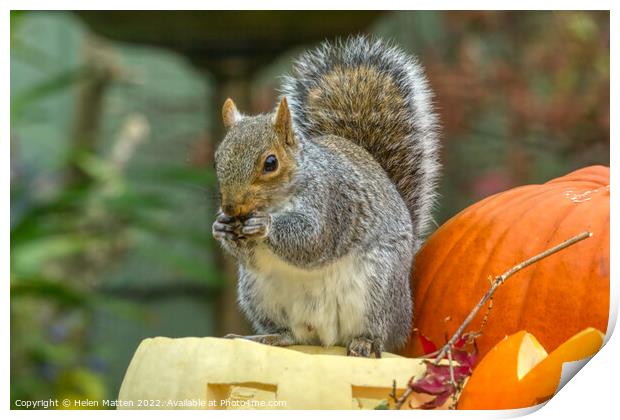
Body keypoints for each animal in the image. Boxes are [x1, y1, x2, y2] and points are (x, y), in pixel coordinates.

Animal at [213, 37, 440, 358]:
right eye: (217, 159)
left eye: (270, 163)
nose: (231, 208)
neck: (281, 199)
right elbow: (252, 258)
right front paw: (221, 227)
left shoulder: (334, 201)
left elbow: (313, 239)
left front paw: (264, 225)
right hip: (258, 294)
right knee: (289, 333)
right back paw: (268, 337)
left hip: (378, 286)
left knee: (378, 332)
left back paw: (366, 342)